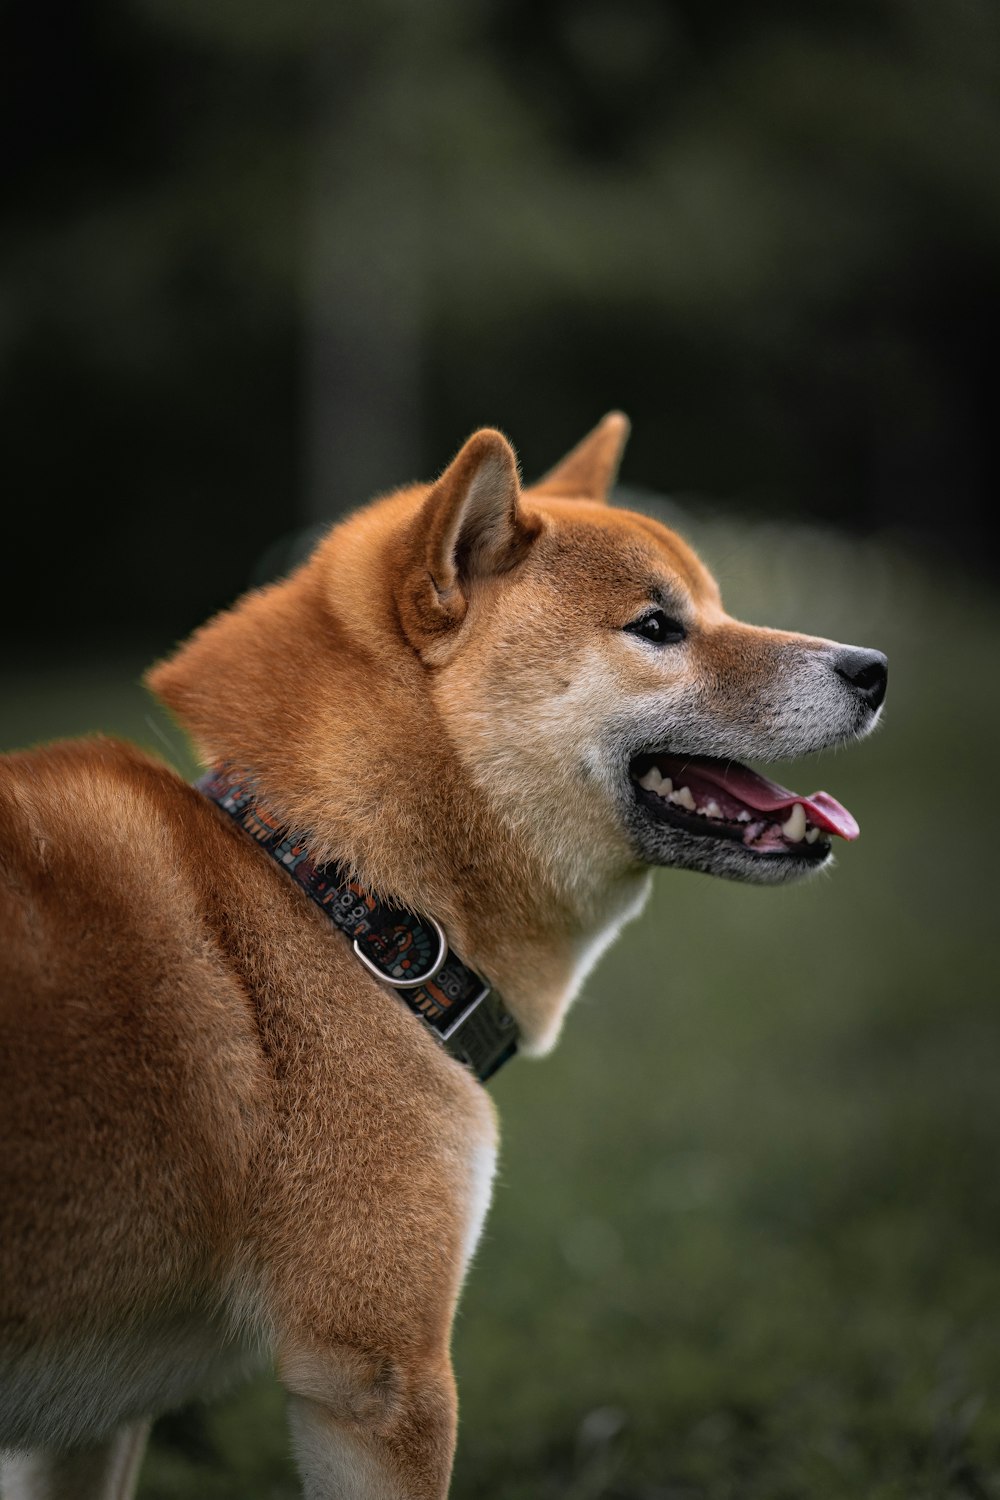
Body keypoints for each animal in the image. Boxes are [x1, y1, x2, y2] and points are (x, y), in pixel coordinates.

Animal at [1, 417, 893, 1500]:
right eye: (656, 627)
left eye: (715, 604)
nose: (873, 667)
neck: (337, 899)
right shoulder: (381, 1374)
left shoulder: (88, 1425)